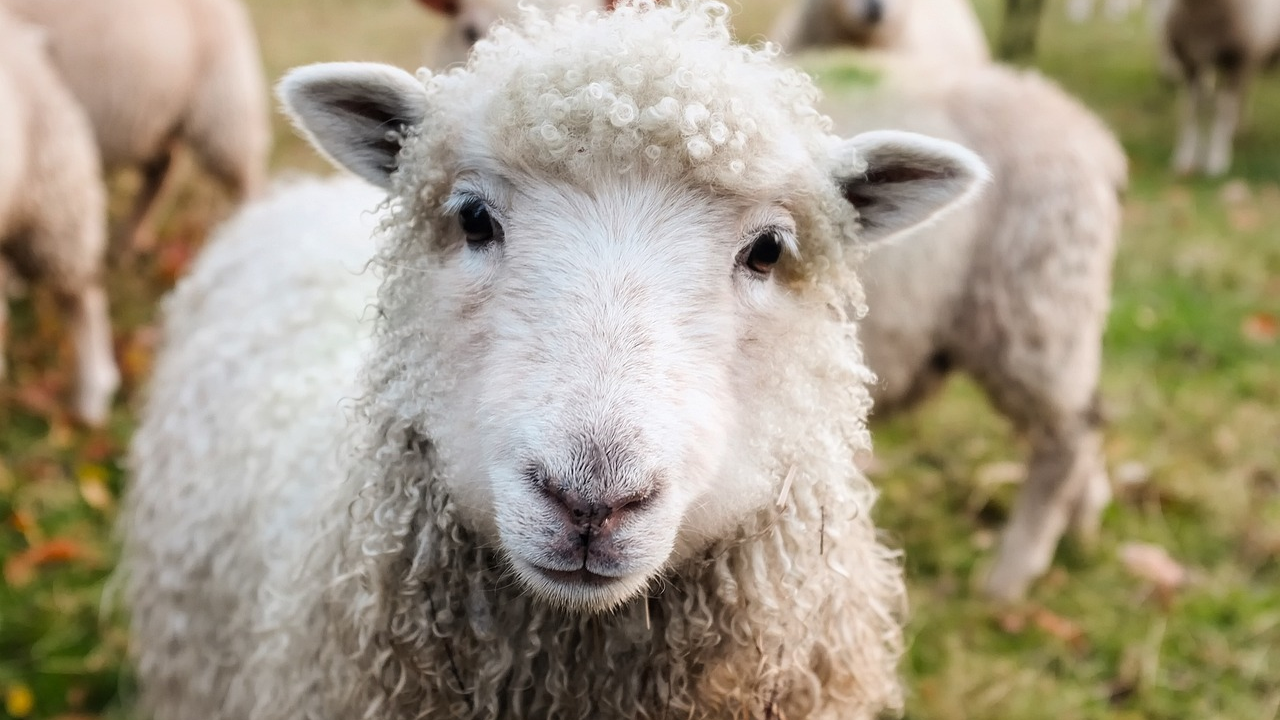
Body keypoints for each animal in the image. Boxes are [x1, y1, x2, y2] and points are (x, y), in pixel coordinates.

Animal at [1162, 0, 1280, 176]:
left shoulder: (1235, 60)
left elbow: (1223, 109)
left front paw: (1217, 159)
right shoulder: (1190, 62)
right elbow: (1192, 110)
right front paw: (1186, 158)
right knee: (1245, 91)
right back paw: (1239, 129)